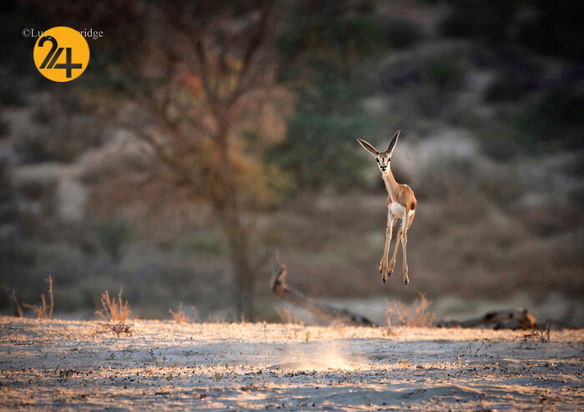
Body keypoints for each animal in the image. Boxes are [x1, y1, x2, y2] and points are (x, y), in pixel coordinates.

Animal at [356, 130, 416, 284]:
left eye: (389, 158)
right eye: (377, 159)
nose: (383, 167)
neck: (397, 193)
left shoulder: (405, 213)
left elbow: (404, 238)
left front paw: (405, 278)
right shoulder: (390, 212)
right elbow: (388, 233)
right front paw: (383, 271)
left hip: (407, 220)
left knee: (401, 233)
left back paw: (391, 269)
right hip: (397, 218)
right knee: (396, 232)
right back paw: (386, 268)